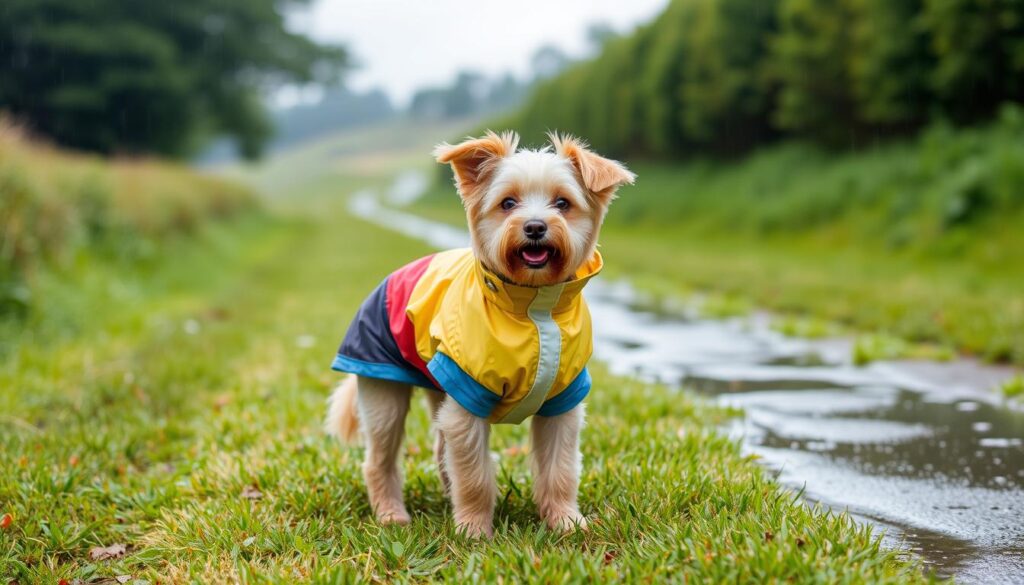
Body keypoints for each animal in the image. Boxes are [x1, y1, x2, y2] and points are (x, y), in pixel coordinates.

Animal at [325, 130, 630, 536]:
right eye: (508, 203)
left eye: (563, 203)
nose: (535, 226)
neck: (534, 311)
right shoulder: (467, 395)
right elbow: (474, 475)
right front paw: (473, 529)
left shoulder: (562, 402)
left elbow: (560, 470)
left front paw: (565, 521)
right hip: (383, 391)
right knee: (379, 459)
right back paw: (391, 515)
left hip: (438, 388)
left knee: (440, 450)